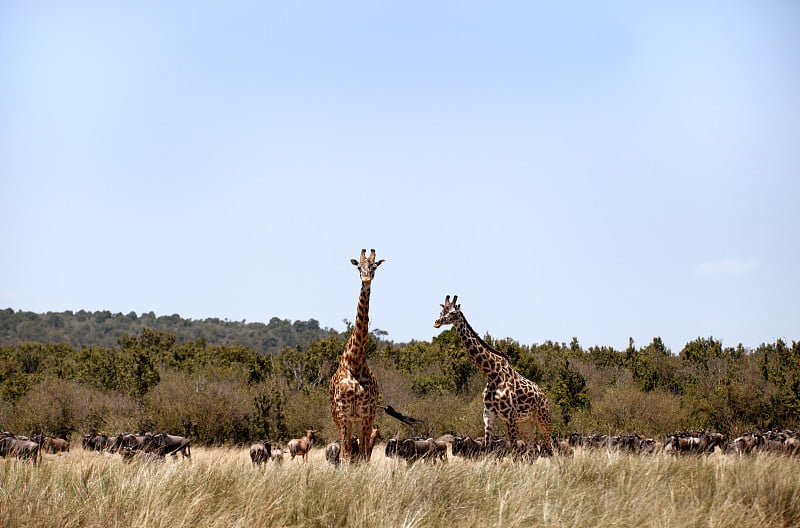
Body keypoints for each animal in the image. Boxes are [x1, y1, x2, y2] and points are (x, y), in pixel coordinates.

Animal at [328, 248, 384, 462]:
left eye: (374, 266)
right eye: (359, 267)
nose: (366, 278)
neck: (355, 361)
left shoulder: (367, 414)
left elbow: (363, 456)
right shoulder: (343, 413)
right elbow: (345, 456)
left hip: (362, 418)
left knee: (361, 453)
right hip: (341, 417)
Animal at [434, 294, 552, 456]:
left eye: (452, 312)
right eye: (441, 311)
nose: (436, 322)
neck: (492, 374)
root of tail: (543, 395)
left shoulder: (510, 416)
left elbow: (514, 450)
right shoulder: (488, 415)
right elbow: (487, 449)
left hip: (542, 417)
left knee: (550, 447)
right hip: (525, 422)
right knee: (532, 450)